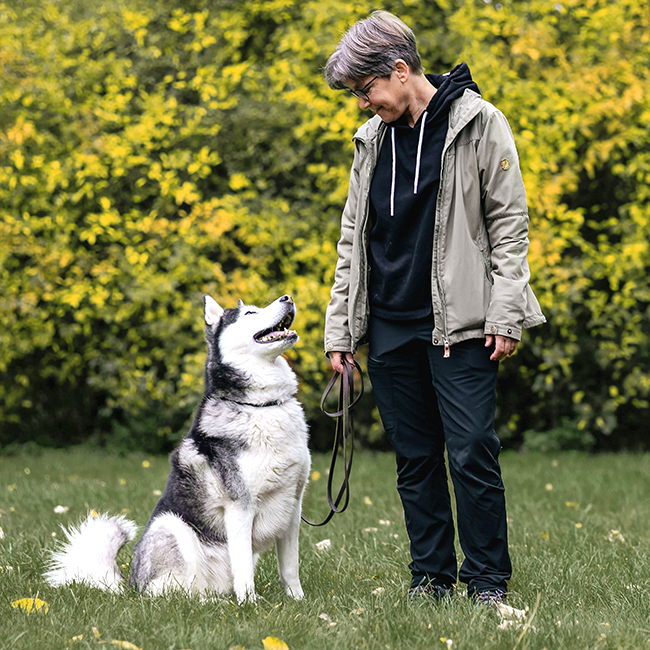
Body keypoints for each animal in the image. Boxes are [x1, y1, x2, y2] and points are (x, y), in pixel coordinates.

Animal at [45, 292, 308, 600]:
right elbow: (244, 571)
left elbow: (290, 567)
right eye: (250, 313)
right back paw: (212, 603)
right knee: (172, 594)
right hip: (172, 525)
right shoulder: (239, 508)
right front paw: (250, 603)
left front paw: (298, 600)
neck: (264, 406)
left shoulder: (293, 506)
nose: (287, 297)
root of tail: (132, 586)